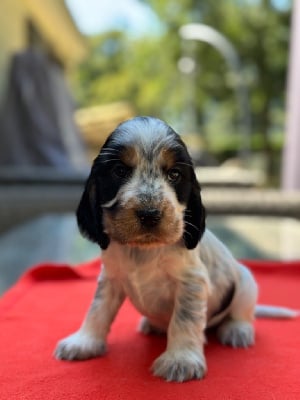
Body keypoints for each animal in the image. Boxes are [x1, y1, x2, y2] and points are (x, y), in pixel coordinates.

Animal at [55, 115, 296, 382]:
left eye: (174, 174)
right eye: (119, 171)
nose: (149, 214)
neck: (142, 250)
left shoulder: (191, 282)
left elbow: (184, 320)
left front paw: (180, 360)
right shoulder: (111, 278)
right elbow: (97, 309)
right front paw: (84, 342)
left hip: (246, 282)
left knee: (242, 312)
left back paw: (237, 330)